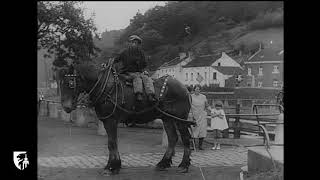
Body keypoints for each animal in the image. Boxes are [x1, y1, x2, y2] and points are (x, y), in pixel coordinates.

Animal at [59, 59, 196, 175]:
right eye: (61, 84)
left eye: (70, 83)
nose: (66, 107)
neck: (106, 87)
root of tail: (184, 88)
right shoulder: (107, 121)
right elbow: (111, 143)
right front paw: (112, 165)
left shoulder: (111, 120)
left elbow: (112, 143)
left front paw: (113, 166)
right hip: (167, 118)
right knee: (172, 138)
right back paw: (163, 163)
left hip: (180, 119)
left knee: (186, 138)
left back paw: (184, 165)